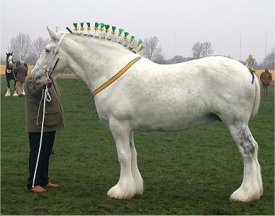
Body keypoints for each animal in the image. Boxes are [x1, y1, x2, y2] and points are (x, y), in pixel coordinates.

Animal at [31, 27, 264, 202]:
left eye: (47, 49)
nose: (35, 76)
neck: (109, 70)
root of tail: (247, 70)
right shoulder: (127, 127)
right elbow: (132, 155)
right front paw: (133, 188)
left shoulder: (118, 125)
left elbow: (123, 156)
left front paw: (119, 191)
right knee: (254, 149)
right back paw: (256, 191)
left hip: (235, 122)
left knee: (248, 150)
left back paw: (244, 194)